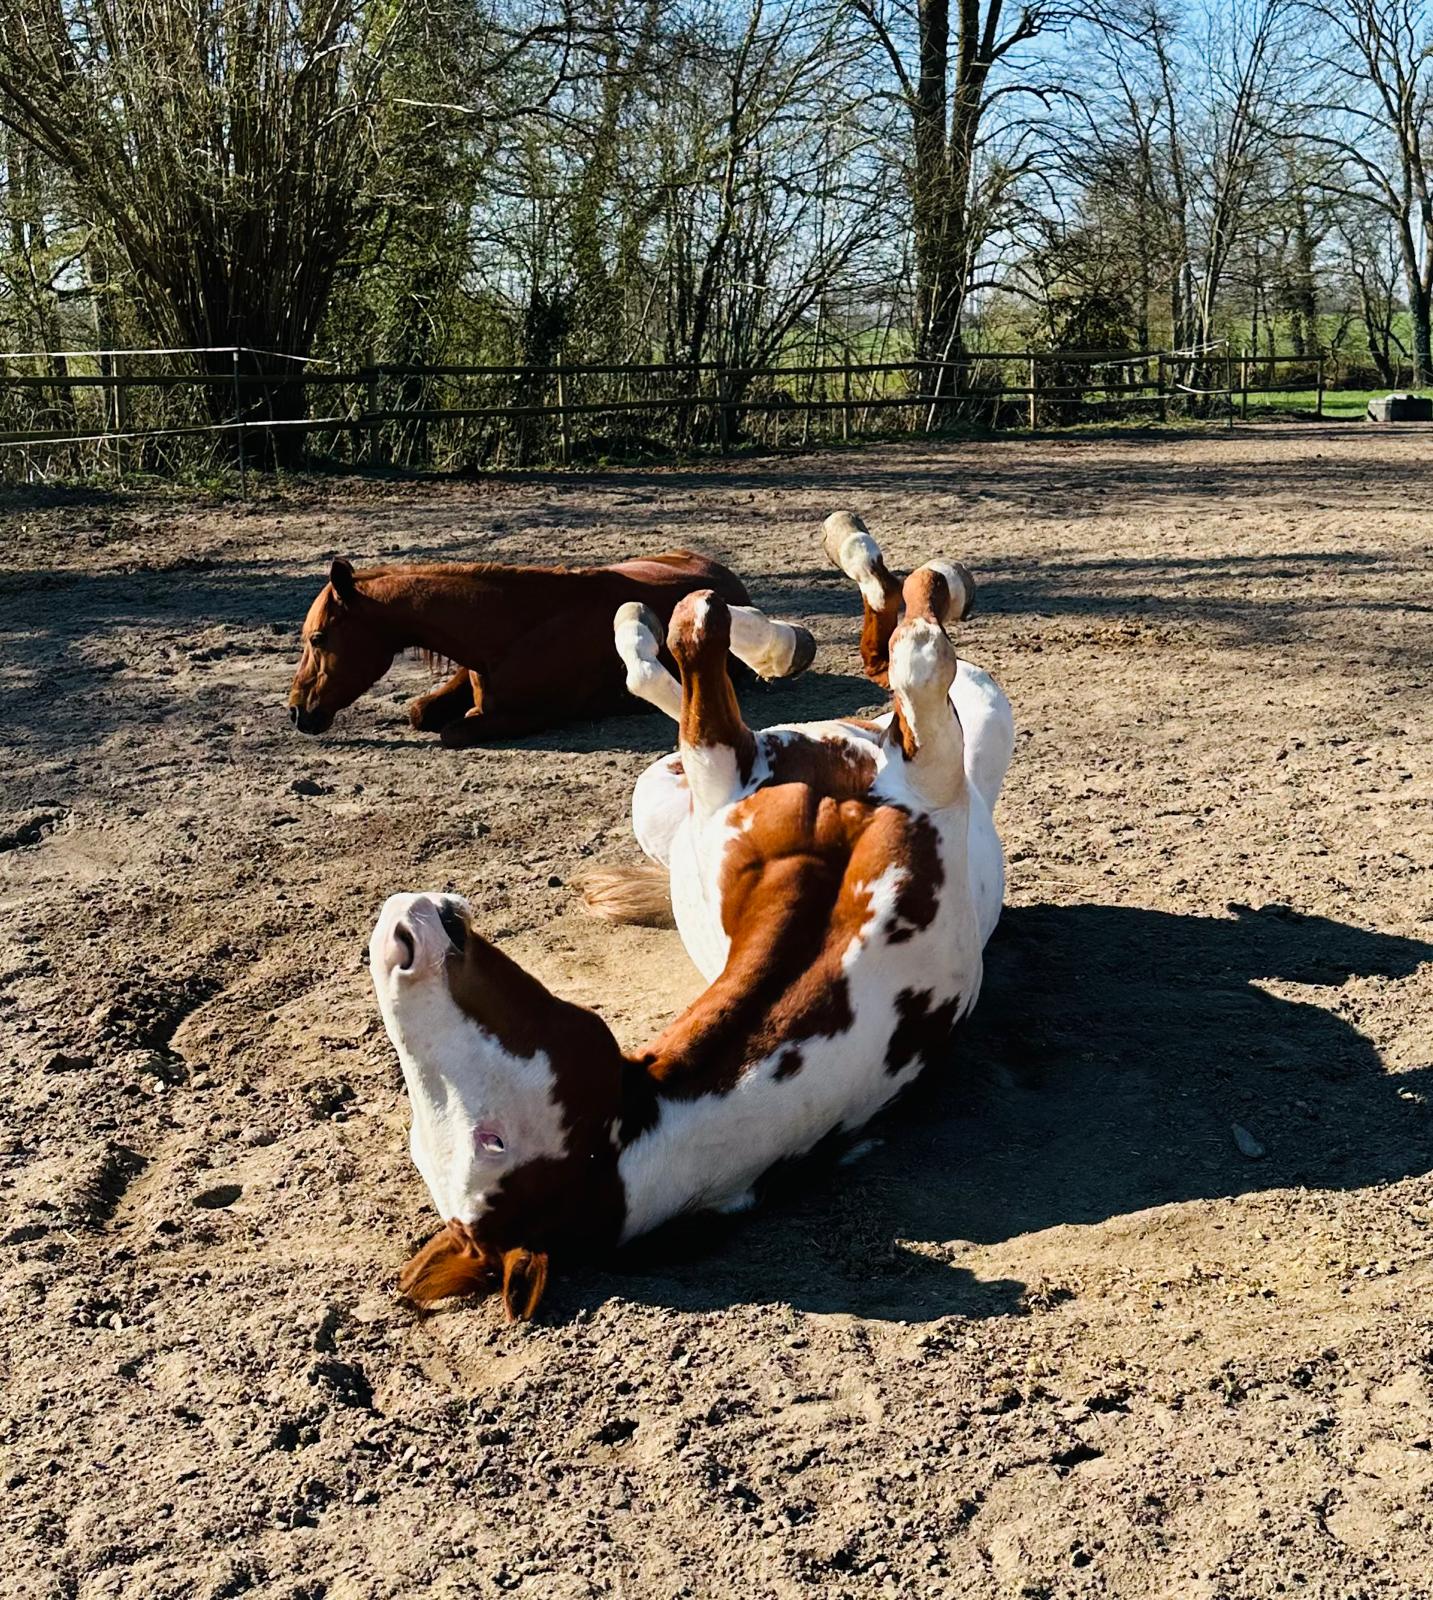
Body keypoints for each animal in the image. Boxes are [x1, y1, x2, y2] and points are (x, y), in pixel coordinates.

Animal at [287, 550, 815, 745]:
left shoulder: (533, 716)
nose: (297, 712)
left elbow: (454, 730)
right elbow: (421, 713)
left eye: (318, 638)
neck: (514, 626)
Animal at [368, 536, 1012, 1320]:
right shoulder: (905, 762)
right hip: (957, 723)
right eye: (492, 1140)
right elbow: (907, 654)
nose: (398, 938)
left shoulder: (746, 777)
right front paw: (705, 616)